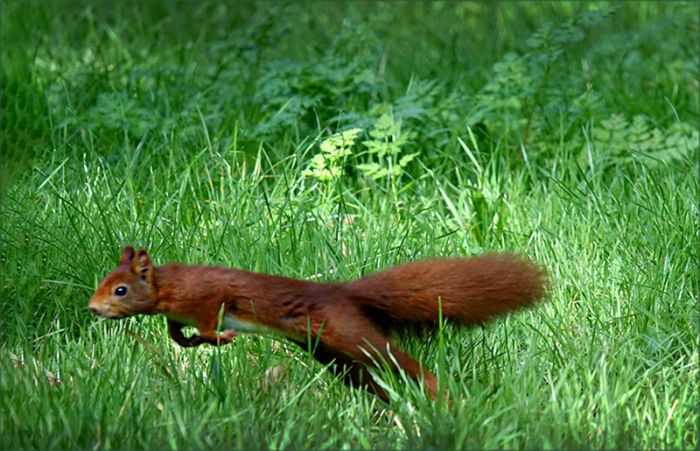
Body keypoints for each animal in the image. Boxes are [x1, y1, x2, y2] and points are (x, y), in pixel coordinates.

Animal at [89, 246, 547, 401]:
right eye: (104, 282)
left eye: (121, 290)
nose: (93, 309)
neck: (168, 286)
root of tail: (343, 293)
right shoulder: (175, 313)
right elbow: (175, 331)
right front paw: (187, 342)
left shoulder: (207, 297)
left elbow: (211, 319)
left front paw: (219, 336)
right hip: (333, 357)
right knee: (373, 382)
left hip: (349, 335)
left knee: (401, 362)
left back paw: (441, 396)